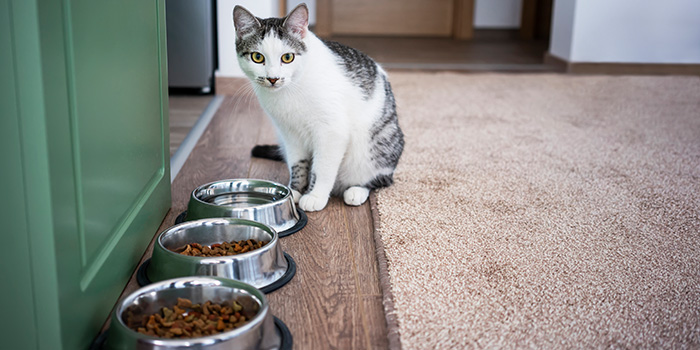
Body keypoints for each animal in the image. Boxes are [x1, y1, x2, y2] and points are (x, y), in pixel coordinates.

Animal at [232, 2, 402, 212]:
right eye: (257, 57)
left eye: (287, 57)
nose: (273, 78)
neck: (290, 89)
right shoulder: (289, 133)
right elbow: (297, 163)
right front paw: (294, 191)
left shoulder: (332, 131)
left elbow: (322, 167)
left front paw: (315, 195)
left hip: (377, 147)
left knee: (380, 179)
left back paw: (357, 190)